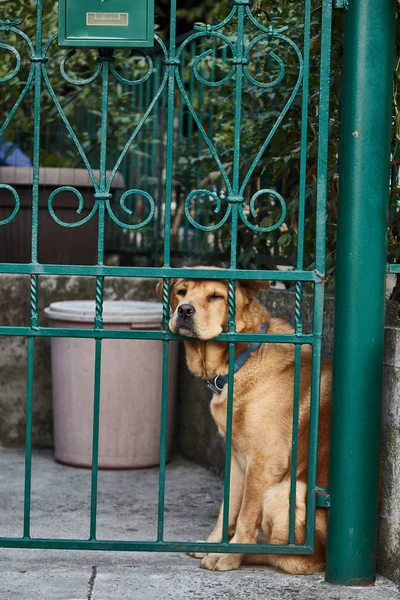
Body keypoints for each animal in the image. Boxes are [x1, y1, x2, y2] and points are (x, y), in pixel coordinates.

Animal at [156, 270, 332, 572]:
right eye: (181, 291)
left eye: (216, 296)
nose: (185, 310)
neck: (241, 360)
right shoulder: (237, 460)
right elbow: (226, 510)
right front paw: (215, 544)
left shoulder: (264, 463)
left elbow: (246, 516)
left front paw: (228, 556)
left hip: (283, 493)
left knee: (291, 557)